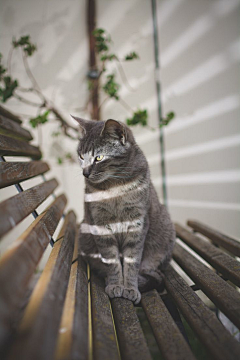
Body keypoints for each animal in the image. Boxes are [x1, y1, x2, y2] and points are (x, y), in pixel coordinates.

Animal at [74, 116, 175, 302]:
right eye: (81, 156)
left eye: (98, 157)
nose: (85, 173)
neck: (114, 187)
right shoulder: (100, 224)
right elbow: (111, 261)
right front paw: (115, 285)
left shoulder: (137, 224)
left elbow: (131, 261)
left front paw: (130, 288)